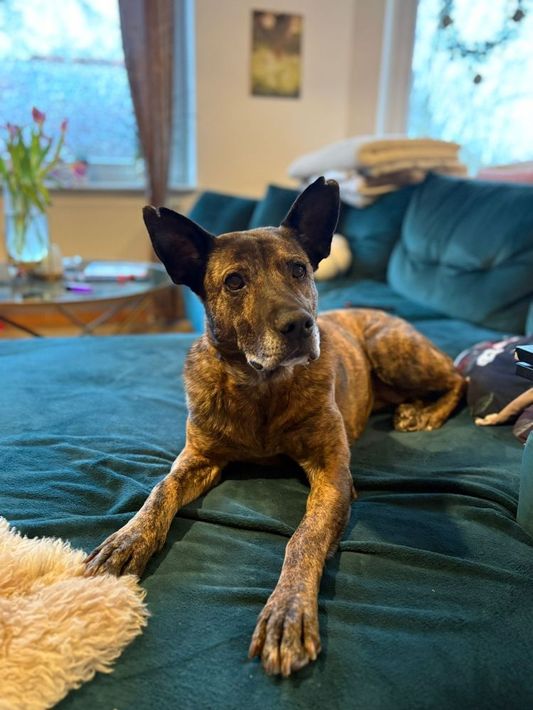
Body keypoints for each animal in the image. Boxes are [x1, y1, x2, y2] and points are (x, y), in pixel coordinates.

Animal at [85, 177, 465, 677]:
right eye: (234, 281)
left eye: (299, 269)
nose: (300, 325)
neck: (260, 387)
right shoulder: (198, 457)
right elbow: (160, 491)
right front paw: (127, 539)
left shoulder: (333, 475)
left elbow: (303, 539)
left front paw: (288, 612)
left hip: (394, 350)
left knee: (460, 378)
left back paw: (424, 413)